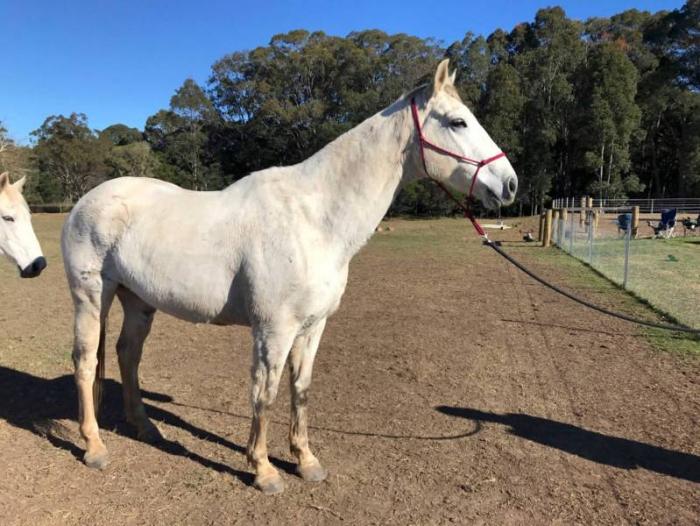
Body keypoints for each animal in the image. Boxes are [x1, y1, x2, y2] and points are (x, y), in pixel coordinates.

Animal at [61, 59, 518, 494]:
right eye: (458, 122)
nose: (510, 184)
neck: (314, 219)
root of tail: (86, 200)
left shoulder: (312, 327)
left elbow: (301, 389)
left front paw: (305, 461)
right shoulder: (273, 329)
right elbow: (265, 393)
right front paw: (263, 470)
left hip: (138, 301)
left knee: (127, 355)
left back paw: (144, 427)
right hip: (91, 297)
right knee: (85, 362)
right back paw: (94, 446)